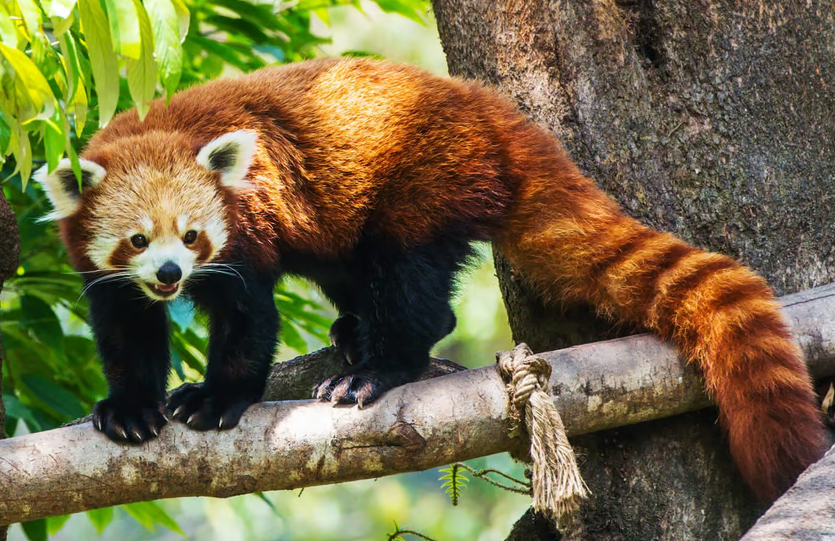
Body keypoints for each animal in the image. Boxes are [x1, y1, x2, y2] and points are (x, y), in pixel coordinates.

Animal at [34, 57, 824, 500]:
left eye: (192, 234)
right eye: (139, 240)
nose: (171, 272)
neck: (163, 127)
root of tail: (491, 111)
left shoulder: (248, 228)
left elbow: (246, 321)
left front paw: (218, 396)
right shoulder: (113, 278)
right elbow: (126, 330)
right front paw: (131, 408)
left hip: (420, 183)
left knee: (409, 283)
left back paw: (376, 367)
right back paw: (354, 334)